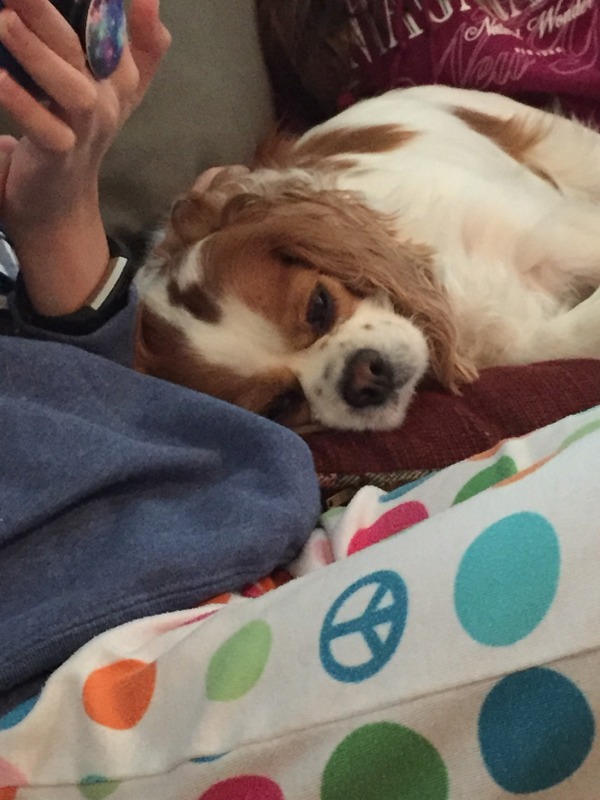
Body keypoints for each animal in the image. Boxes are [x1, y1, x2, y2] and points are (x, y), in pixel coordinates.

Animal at [134, 85, 600, 431]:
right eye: (279, 405)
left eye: (319, 304)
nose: (361, 378)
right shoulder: (519, 340)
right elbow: (564, 337)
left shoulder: (562, 231)